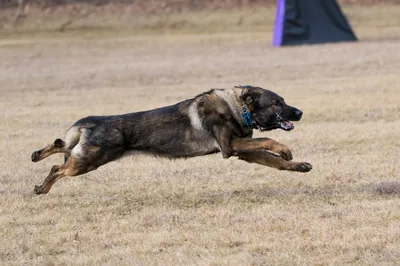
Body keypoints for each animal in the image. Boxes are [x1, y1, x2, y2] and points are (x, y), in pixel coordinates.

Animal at [32, 84, 312, 194]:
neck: (238, 107)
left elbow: (276, 162)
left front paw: (298, 166)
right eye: (277, 103)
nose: (300, 112)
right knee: (57, 167)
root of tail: (90, 122)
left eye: (284, 101)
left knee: (59, 146)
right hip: (89, 161)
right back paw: (42, 187)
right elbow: (270, 143)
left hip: (84, 156)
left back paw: (37, 156)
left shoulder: (244, 152)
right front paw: (285, 149)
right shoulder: (231, 146)